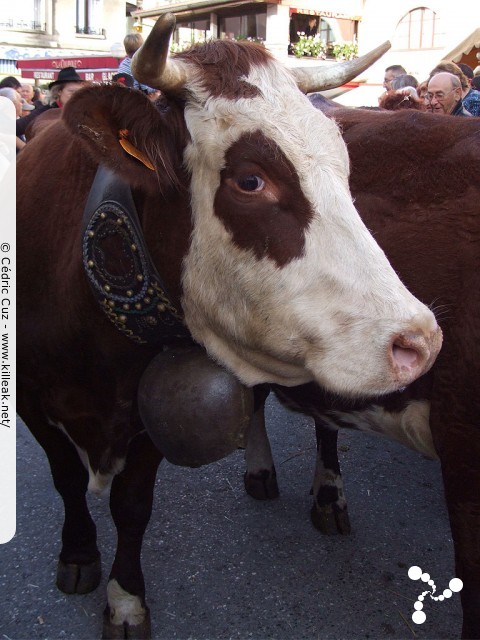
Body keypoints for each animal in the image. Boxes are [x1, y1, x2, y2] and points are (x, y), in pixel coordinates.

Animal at [16, 15, 440, 640]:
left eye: (345, 169)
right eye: (250, 180)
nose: (419, 341)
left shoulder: (150, 415)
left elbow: (132, 506)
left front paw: (125, 599)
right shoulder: (29, 398)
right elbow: (66, 478)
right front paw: (78, 555)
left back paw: (324, 494)